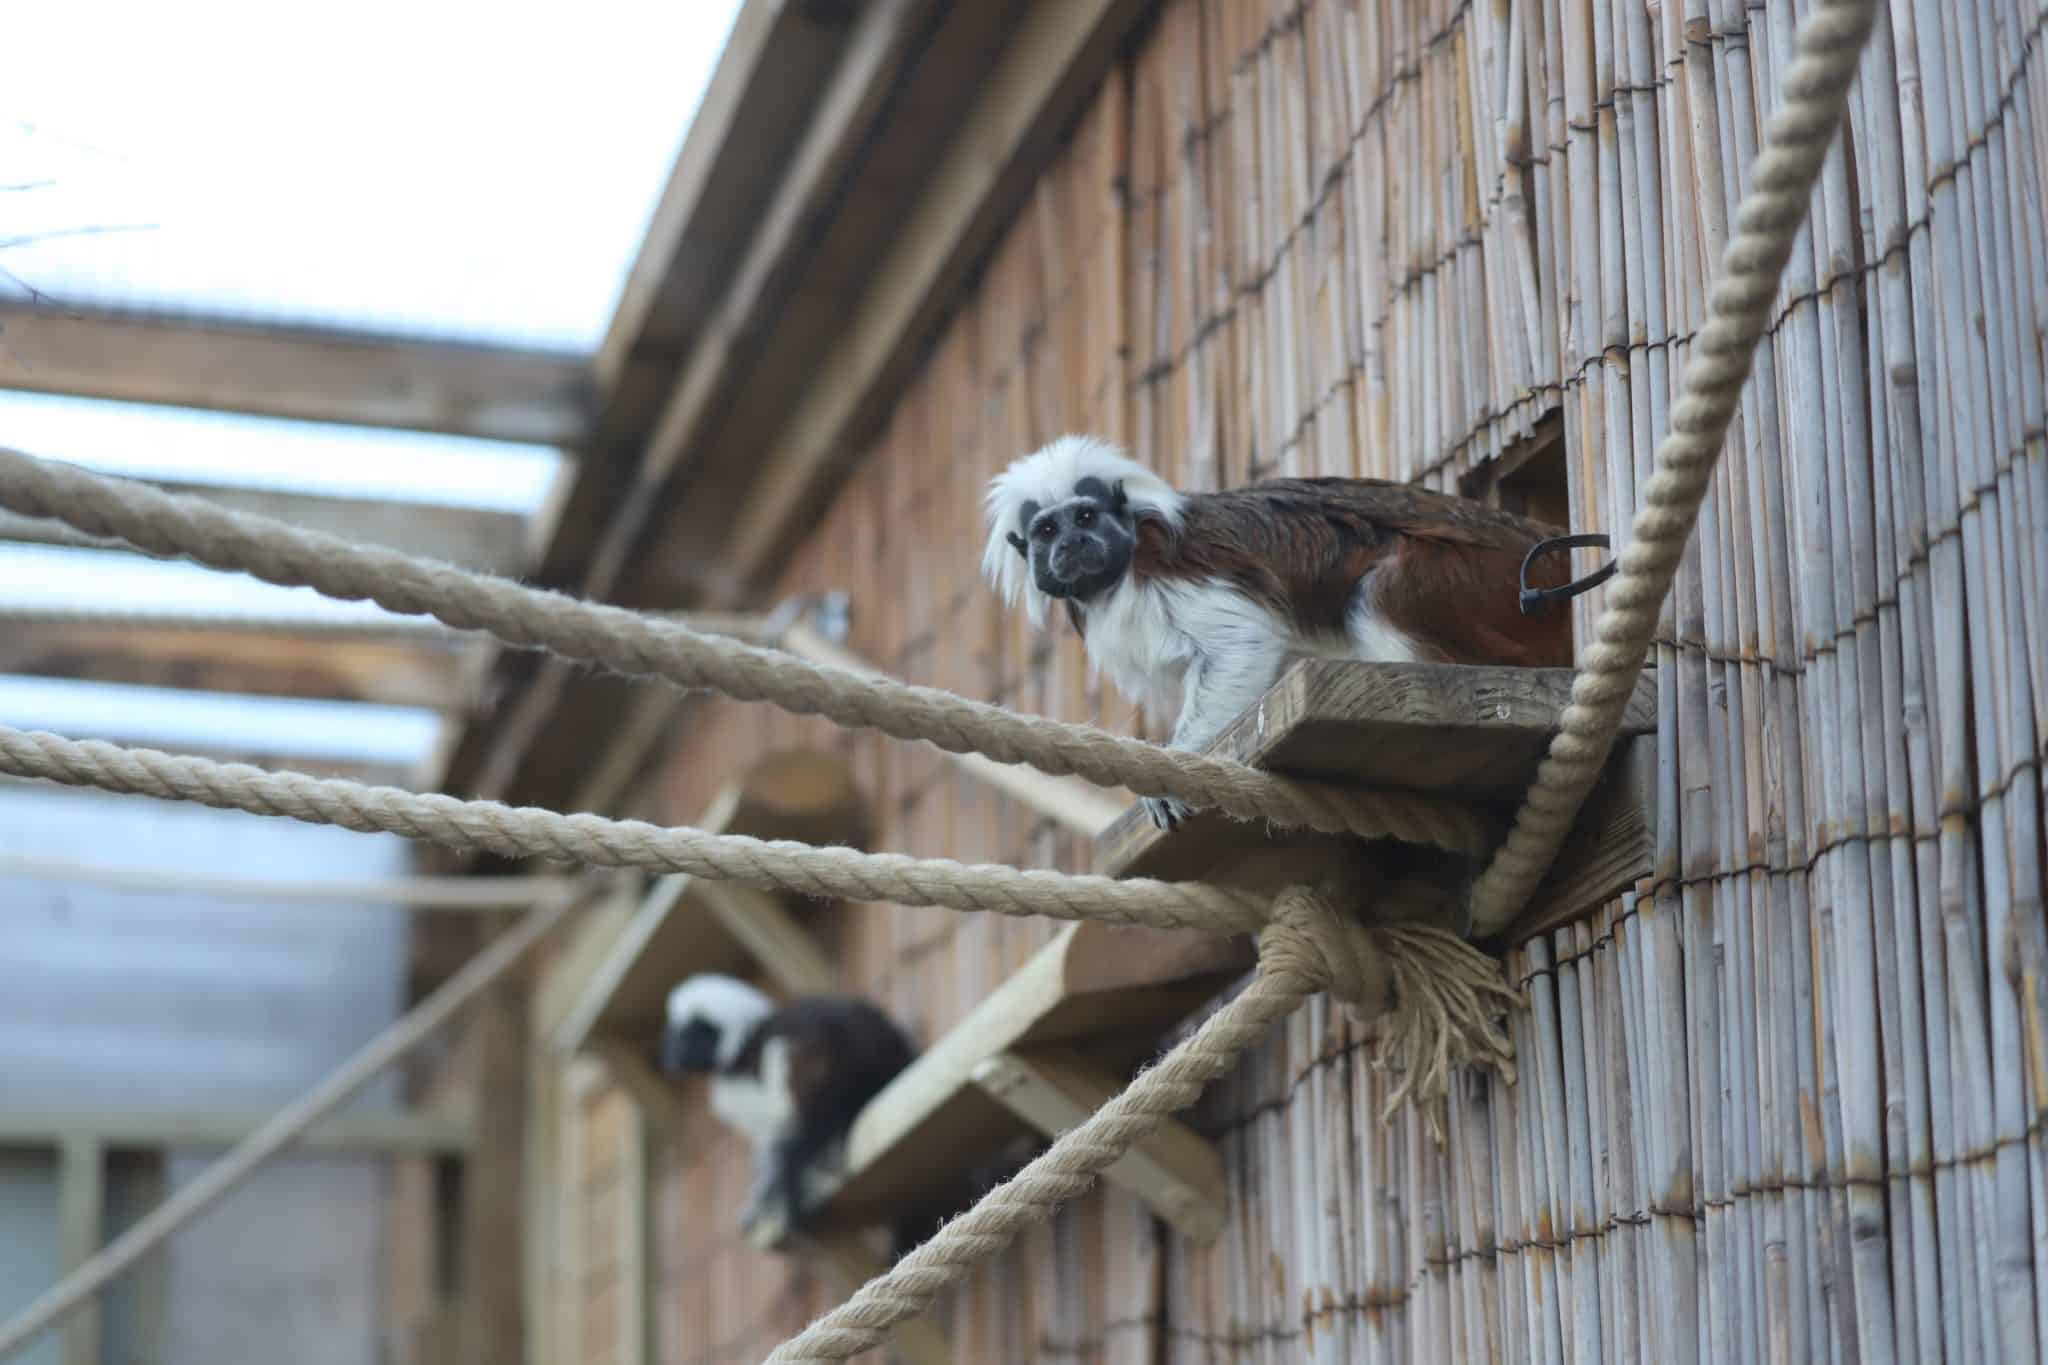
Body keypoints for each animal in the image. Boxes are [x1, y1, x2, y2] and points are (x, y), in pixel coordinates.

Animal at [659, 974, 915, 1244]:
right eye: (674, 1037)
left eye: (684, 1036)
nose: (670, 1053)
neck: (746, 1042)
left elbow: (783, 1107)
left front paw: (777, 1175)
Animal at [982, 435, 1582, 830]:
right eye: (1047, 530)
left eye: (1085, 518)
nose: (1072, 546)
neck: (1119, 572)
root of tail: (1534, 536)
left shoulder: (1175, 571)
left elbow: (1240, 643)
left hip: (1475, 581)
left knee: (1377, 591)